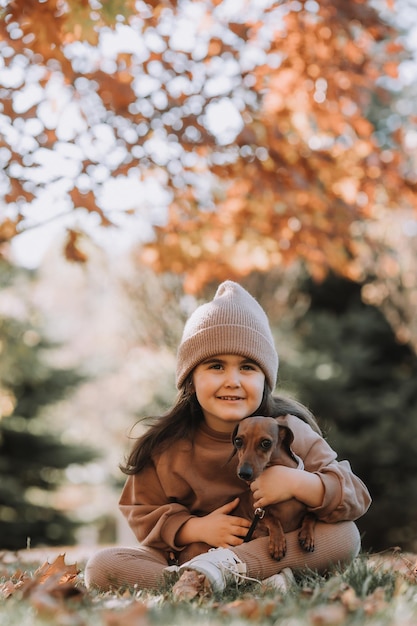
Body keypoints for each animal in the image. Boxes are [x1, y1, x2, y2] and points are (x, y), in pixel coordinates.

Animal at [231, 416, 316, 560]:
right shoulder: (258, 511)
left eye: (266, 443)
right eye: (238, 441)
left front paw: (307, 536)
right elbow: (272, 519)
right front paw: (277, 543)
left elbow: (311, 515)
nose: (244, 473)